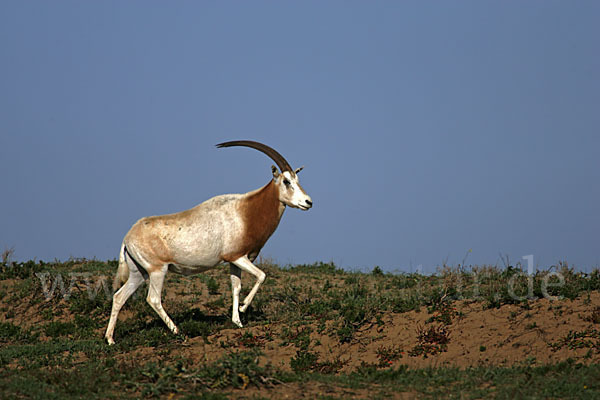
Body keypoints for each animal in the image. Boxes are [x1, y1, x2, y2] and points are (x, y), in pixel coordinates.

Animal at [105, 141, 312, 344]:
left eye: (297, 180)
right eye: (286, 181)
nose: (308, 202)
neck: (246, 211)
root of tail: (127, 237)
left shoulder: (235, 261)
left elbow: (236, 287)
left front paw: (237, 322)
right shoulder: (237, 257)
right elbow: (262, 276)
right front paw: (244, 307)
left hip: (139, 273)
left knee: (119, 297)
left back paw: (110, 339)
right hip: (157, 270)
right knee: (153, 299)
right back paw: (178, 332)